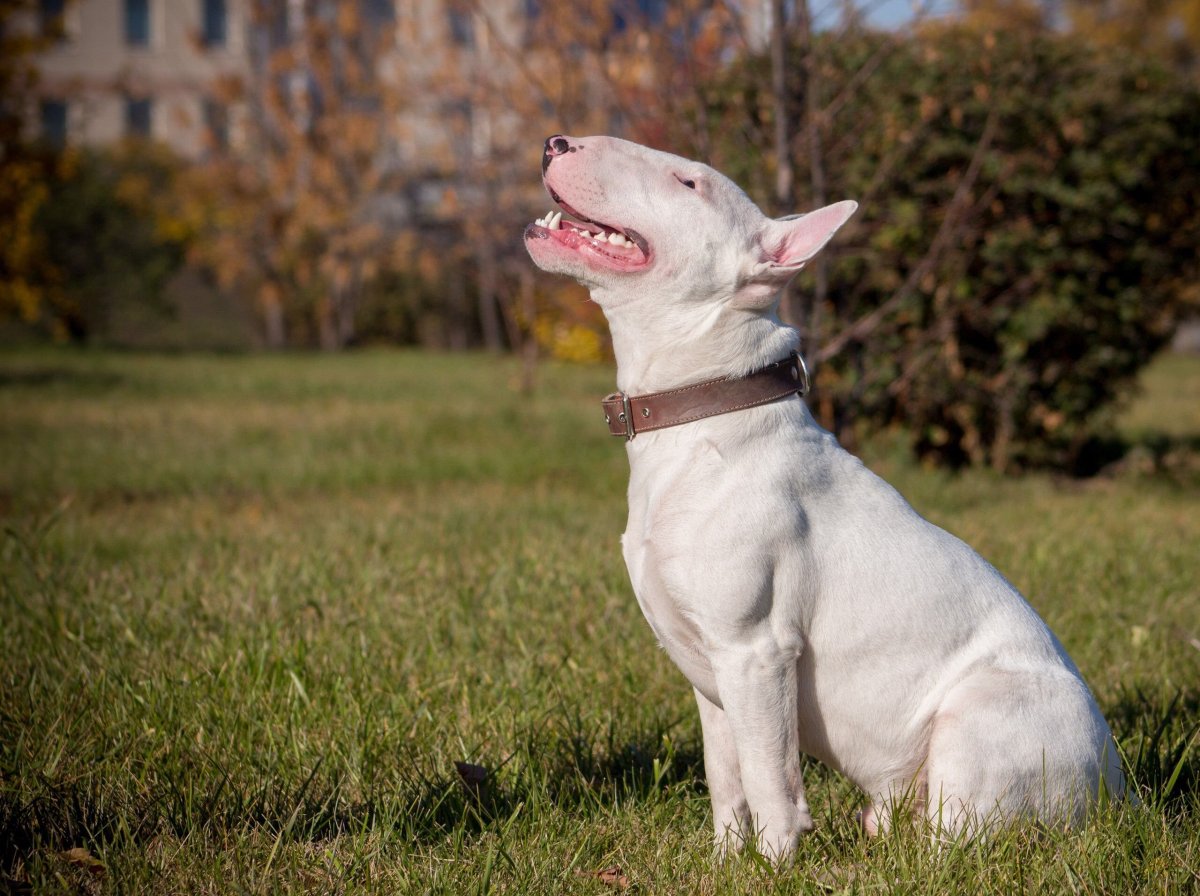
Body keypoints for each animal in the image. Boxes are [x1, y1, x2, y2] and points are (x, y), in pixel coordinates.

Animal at [523, 134, 1123, 863]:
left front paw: (777, 865)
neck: (704, 411)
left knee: (956, 843)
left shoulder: (756, 651)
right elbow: (726, 777)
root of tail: (1123, 791)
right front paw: (726, 861)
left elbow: (769, 776)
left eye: (688, 182)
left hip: (980, 716)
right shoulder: (712, 677)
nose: (557, 141)